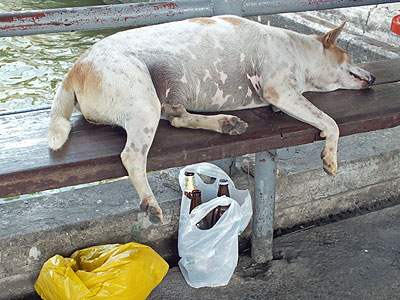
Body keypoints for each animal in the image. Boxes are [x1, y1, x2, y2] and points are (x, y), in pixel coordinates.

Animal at [47, 15, 376, 223]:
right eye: (349, 57)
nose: (373, 77)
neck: (298, 50)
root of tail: (75, 69)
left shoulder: (286, 96)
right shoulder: (279, 90)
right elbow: (330, 122)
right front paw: (330, 158)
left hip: (162, 102)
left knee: (177, 118)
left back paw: (225, 123)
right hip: (143, 104)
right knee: (132, 156)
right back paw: (150, 204)